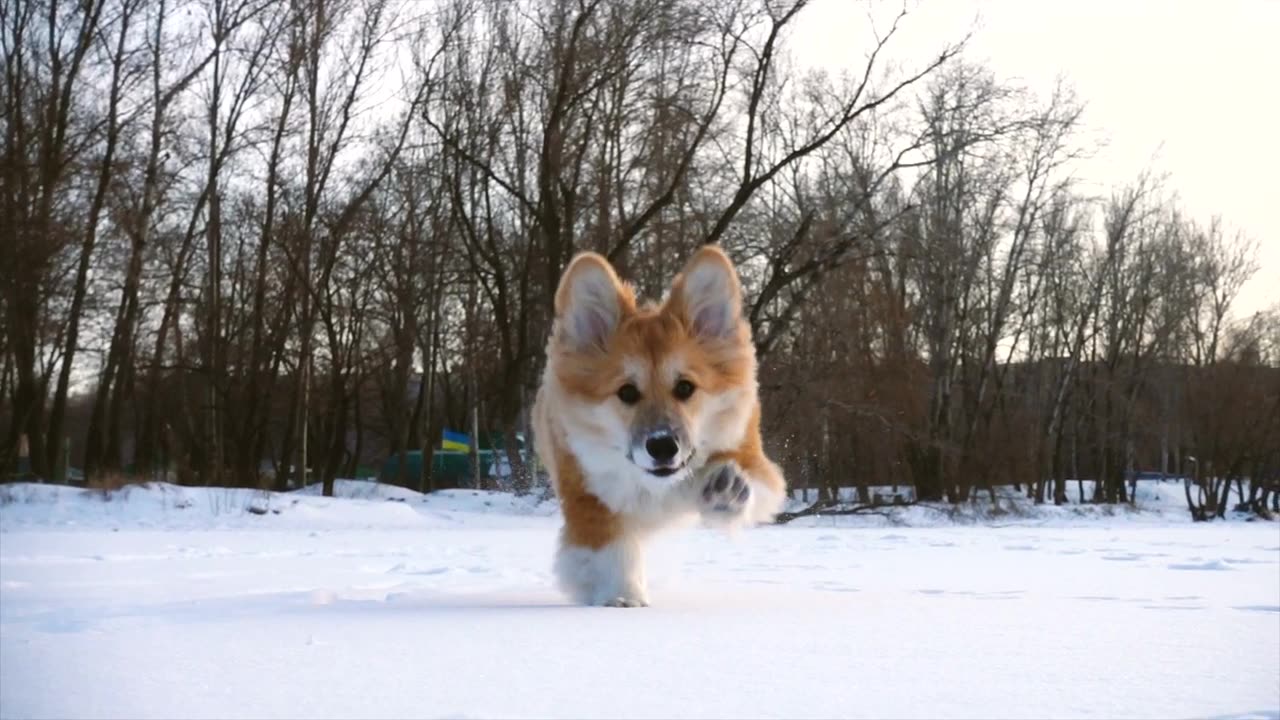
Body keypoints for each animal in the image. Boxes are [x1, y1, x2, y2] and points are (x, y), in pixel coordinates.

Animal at [527, 243, 778, 602]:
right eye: (627, 392)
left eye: (685, 387)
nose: (662, 446)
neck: (656, 486)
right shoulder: (586, 489)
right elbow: (609, 547)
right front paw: (622, 596)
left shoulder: (743, 444)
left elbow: (759, 481)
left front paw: (729, 490)